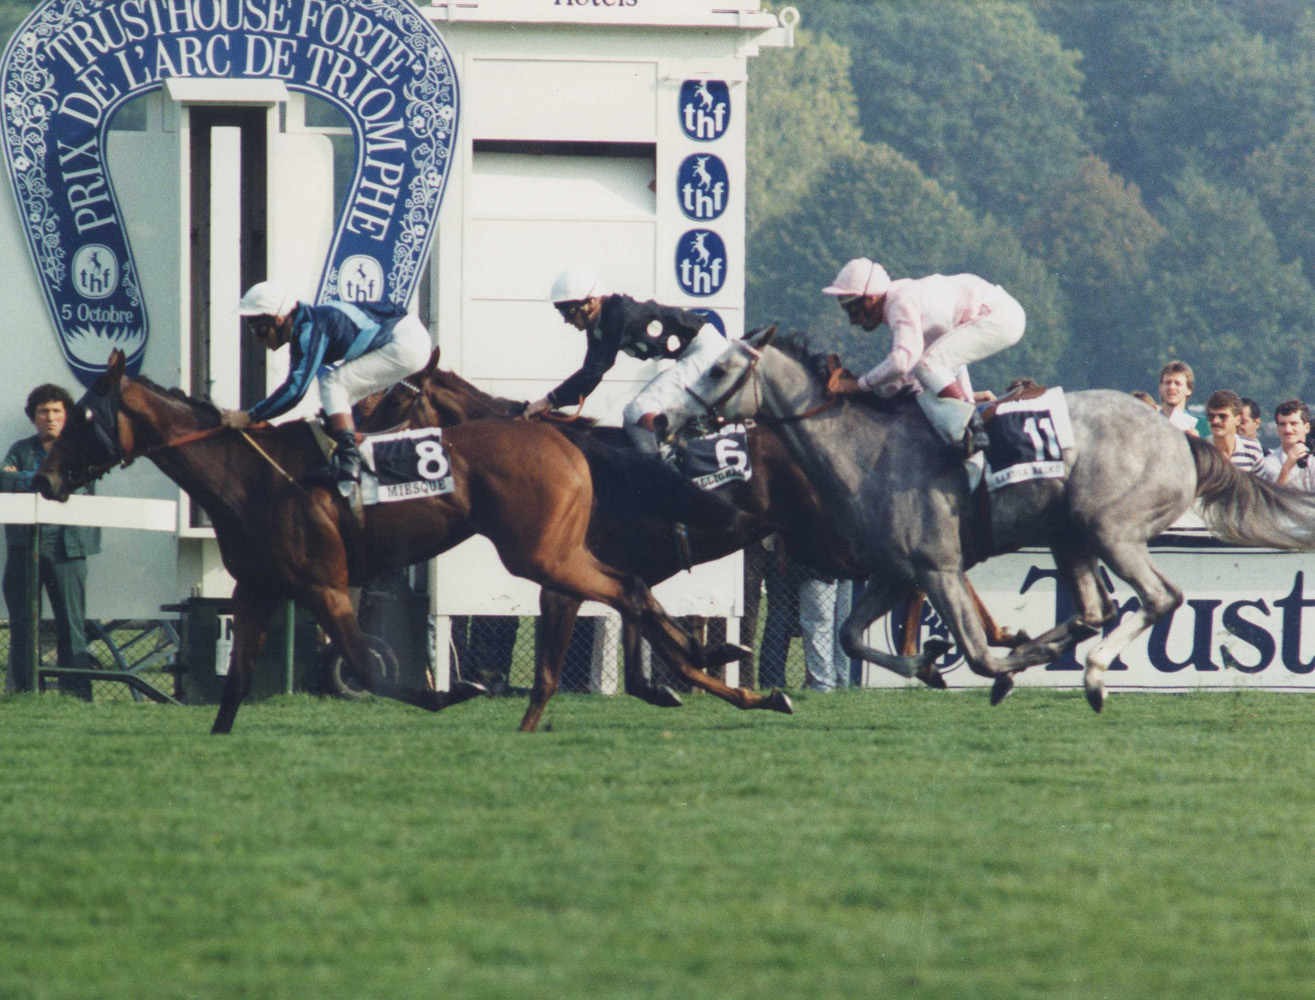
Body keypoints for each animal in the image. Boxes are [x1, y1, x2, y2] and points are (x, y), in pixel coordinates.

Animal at [33, 352, 789, 736]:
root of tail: (562, 440)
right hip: (553, 554)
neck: (249, 475)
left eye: (84, 416)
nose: (43, 475)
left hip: (538, 555)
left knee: (626, 589)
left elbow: (366, 668)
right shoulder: (258, 588)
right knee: (631, 592)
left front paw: (458, 691)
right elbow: (237, 681)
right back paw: (726, 672)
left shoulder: (326, 585)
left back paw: (727, 672)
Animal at [657, 327, 1315, 710]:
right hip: (1069, 534)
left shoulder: (939, 568)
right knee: (1095, 608)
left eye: (717, 370)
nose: (662, 421)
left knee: (1158, 598)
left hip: (1111, 530)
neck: (865, 449)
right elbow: (850, 636)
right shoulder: (894, 571)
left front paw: (990, 669)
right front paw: (929, 663)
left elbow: (974, 653)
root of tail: (1182, 439)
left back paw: (1094, 674)